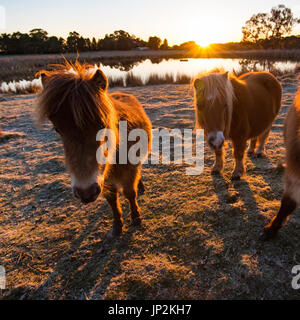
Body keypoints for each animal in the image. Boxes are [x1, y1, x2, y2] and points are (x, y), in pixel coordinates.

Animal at [36, 62, 151, 238]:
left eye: (102, 124)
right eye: (57, 129)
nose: (86, 192)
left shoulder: (129, 171)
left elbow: (130, 193)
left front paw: (136, 218)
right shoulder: (104, 178)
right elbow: (112, 199)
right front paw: (117, 226)